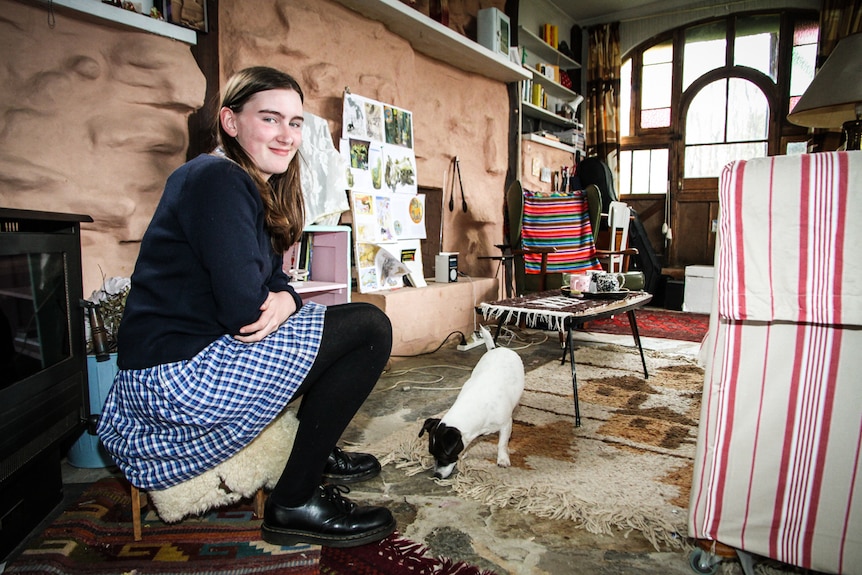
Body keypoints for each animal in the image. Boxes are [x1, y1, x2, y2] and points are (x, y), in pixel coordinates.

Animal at [420, 326, 528, 480]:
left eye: (445, 457)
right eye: (432, 454)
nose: (437, 475)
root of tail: (496, 349)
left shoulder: (505, 424)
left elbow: (502, 443)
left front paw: (502, 458)